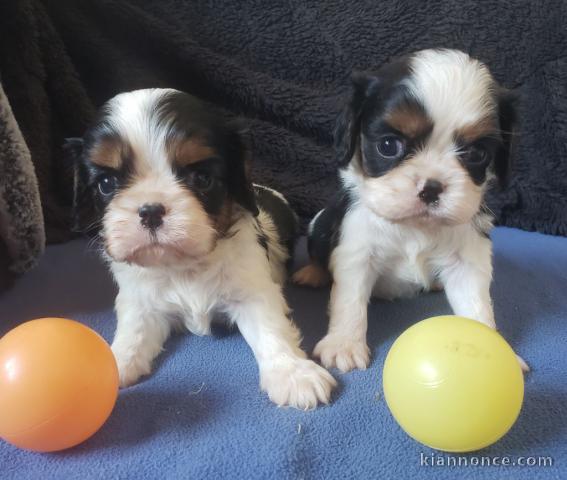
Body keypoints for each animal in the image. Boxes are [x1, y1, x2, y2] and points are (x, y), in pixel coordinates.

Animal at [65, 89, 338, 408]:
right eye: (107, 183)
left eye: (202, 179)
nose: (150, 211)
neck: (183, 266)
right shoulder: (140, 299)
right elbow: (133, 331)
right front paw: (116, 362)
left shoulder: (254, 292)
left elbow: (271, 329)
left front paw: (293, 374)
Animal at [296, 47, 532, 372]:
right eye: (388, 145)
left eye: (476, 153)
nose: (431, 187)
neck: (416, 226)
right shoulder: (356, 251)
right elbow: (349, 301)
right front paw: (343, 345)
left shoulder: (468, 259)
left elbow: (477, 306)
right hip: (320, 223)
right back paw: (312, 273)